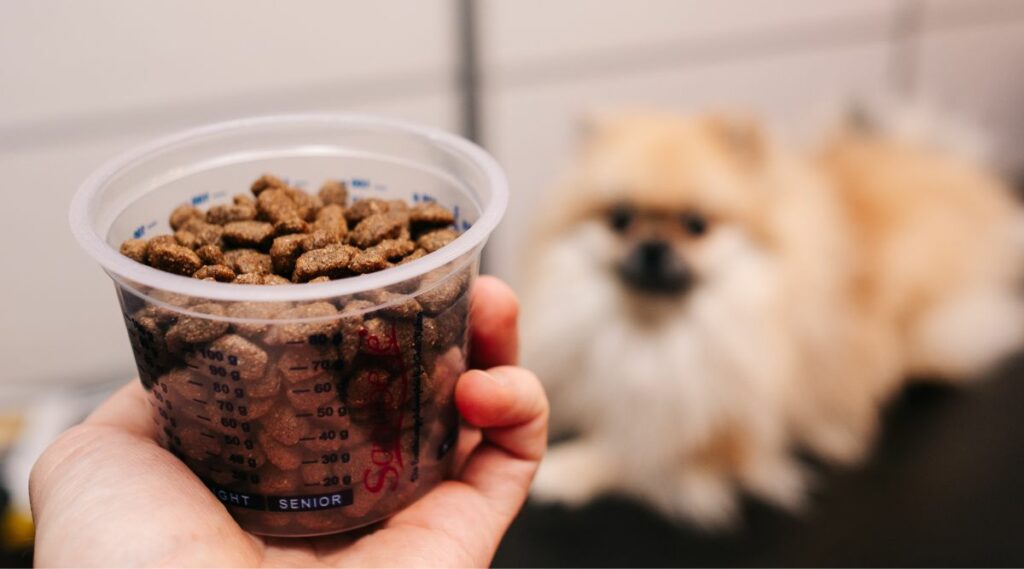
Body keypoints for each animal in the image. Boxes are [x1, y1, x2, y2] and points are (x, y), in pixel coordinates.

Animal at [524, 108, 1019, 528]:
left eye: (697, 224)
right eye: (620, 218)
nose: (653, 246)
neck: (657, 331)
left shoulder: (724, 424)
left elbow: (641, 454)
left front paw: (565, 468)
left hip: (931, 331)